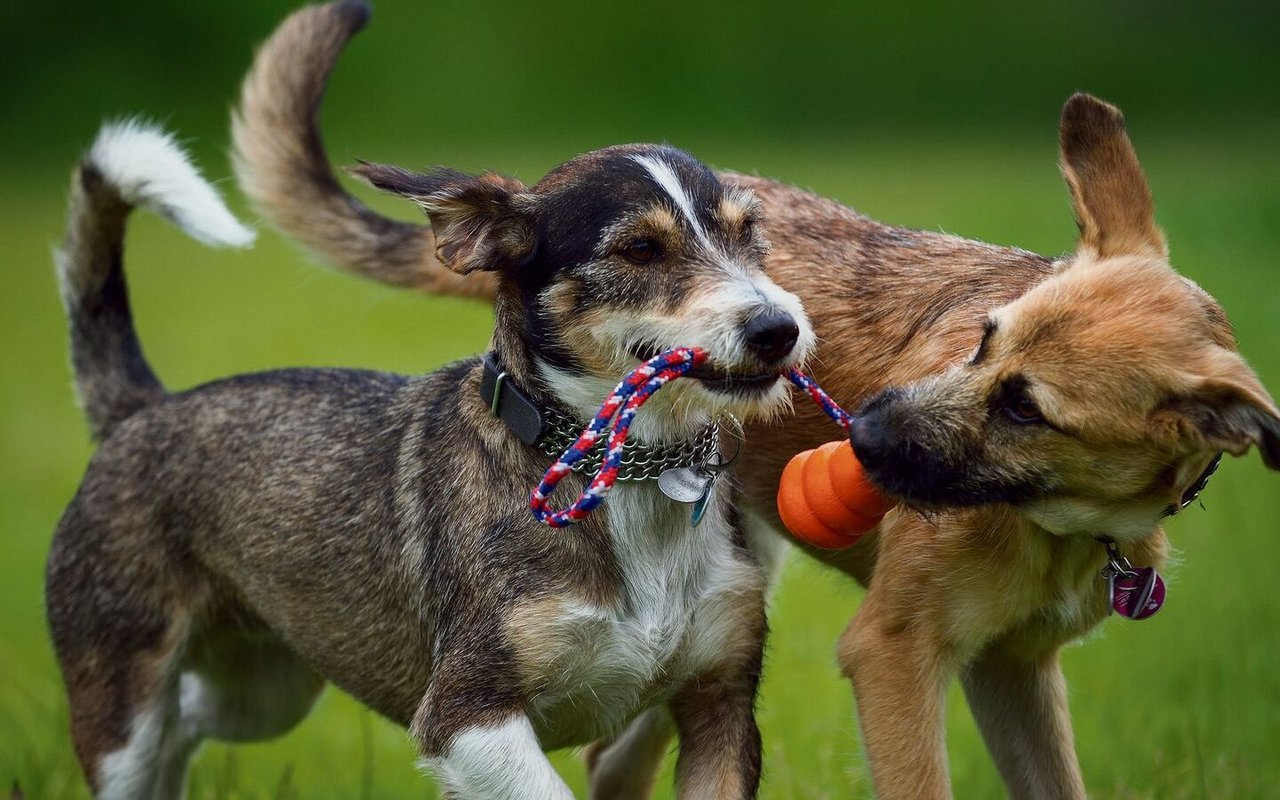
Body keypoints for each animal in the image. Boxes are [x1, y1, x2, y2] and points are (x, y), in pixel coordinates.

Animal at [49, 115, 814, 793]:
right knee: (148, 740)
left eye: (749, 235)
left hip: (266, 686)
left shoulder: (721, 703)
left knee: (186, 722)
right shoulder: (462, 717)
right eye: (639, 251)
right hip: (124, 699)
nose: (779, 328)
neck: (626, 472)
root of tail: (141, 408)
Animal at [230, 4, 1280, 793]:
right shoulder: (893, 654)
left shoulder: (1016, 672)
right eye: (982, 339)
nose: (864, 429)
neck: (1061, 525)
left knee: (619, 758)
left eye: (1028, 409)